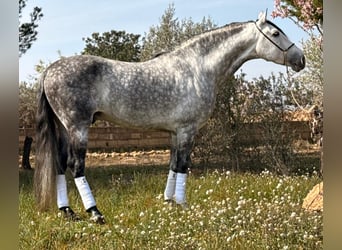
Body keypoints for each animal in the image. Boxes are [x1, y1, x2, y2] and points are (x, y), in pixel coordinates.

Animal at [34, 11, 304, 224]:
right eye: (275, 34)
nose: (301, 59)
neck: (197, 68)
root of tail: (50, 69)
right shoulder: (187, 130)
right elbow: (183, 165)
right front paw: (183, 205)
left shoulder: (175, 132)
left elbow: (173, 165)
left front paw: (169, 202)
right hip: (78, 127)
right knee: (76, 165)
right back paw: (95, 213)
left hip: (64, 127)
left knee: (59, 163)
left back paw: (67, 212)